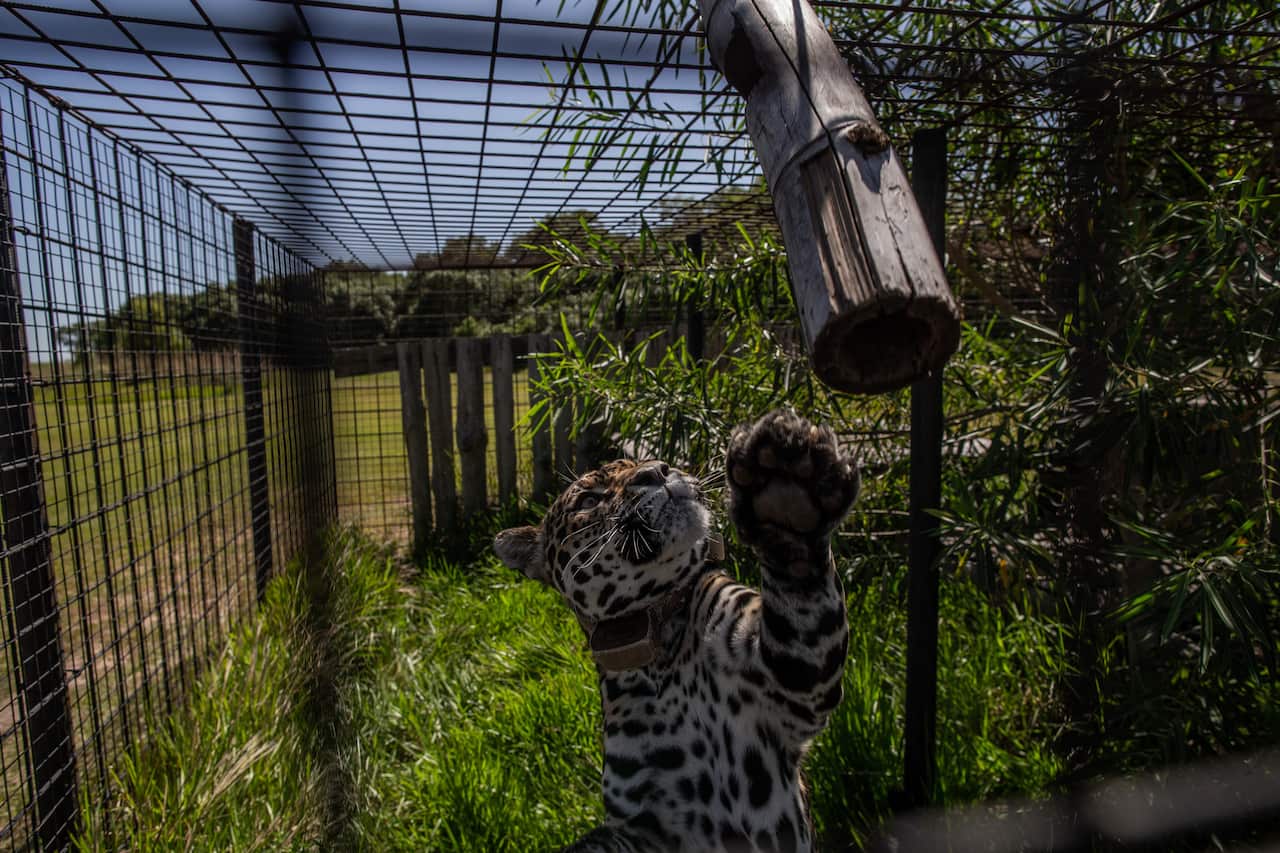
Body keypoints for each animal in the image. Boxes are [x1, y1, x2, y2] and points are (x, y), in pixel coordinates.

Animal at [494, 409, 861, 853]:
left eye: (647, 465)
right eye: (589, 500)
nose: (657, 470)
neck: (661, 652)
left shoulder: (792, 683)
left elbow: (797, 580)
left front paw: (787, 496)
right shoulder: (646, 826)